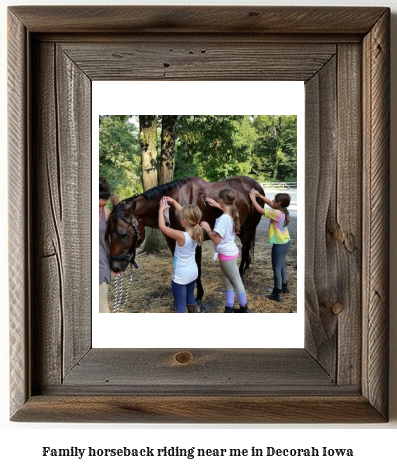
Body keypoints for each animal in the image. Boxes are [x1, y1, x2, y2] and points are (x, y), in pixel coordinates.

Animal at [106, 176, 264, 306]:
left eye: (122, 234)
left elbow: (197, 267)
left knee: (245, 249)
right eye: (108, 233)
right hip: (240, 227)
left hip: (250, 225)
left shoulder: (195, 241)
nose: (115, 267)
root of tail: (255, 185)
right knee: (245, 247)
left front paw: (198, 296)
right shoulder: (172, 240)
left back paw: (240, 273)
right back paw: (246, 266)